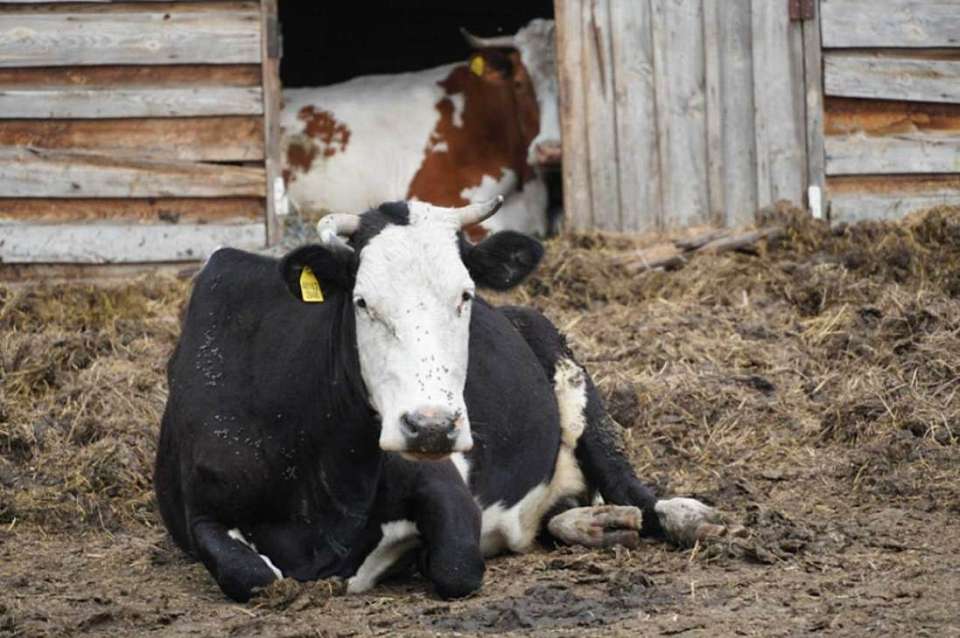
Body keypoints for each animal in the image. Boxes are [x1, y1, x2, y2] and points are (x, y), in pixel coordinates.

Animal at [154, 198, 732, 604]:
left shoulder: (444, 483)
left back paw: (685, 518)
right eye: (362, 302)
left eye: (466, 295)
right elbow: (252, 575)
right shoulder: (198, 511)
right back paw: (596, 524)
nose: (431, 426)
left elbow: (455, 566)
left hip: (573, 377)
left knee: (632, 489)